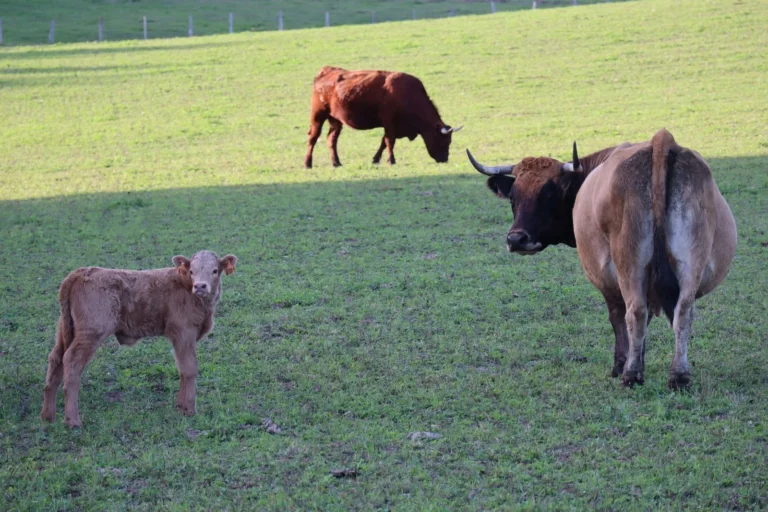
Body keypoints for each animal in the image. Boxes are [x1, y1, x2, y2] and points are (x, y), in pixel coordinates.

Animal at [41, 250, 238, 428]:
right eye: (191, 271)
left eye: (215, 270)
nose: (200, 286)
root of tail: (81, 272)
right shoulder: (184, 333)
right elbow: (189, 369)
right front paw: (189, 410)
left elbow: (183, 370)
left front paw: (180, 406)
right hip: (90, 333)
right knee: (71, 362)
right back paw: (73, 421)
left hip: (65, 330)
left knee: (56, 359)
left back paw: (48, 416)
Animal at [304, 66, 462, 168]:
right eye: (444, 140)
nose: (444, 159)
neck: (408, 94)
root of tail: (326, 71)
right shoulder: (389, 122)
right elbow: (389, 141)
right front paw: (391, 160)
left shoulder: (392, 126)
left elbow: (383, 142)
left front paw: (376, 159)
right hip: (318, 116)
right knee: (313, 137)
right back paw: (307, 163)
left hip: (335, 120)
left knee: (332, 140)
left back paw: (336, 162)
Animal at [467, 129, 737, 389]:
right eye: (513, 196)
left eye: (549, 195)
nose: (516, 239)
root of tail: (662, 141)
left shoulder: (608, 281)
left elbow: (619, 319)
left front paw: (622, 364)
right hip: (690, 263)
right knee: (683, 314)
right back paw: (679, 376)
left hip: (629, 265)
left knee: (635, 312)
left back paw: (630, 376)